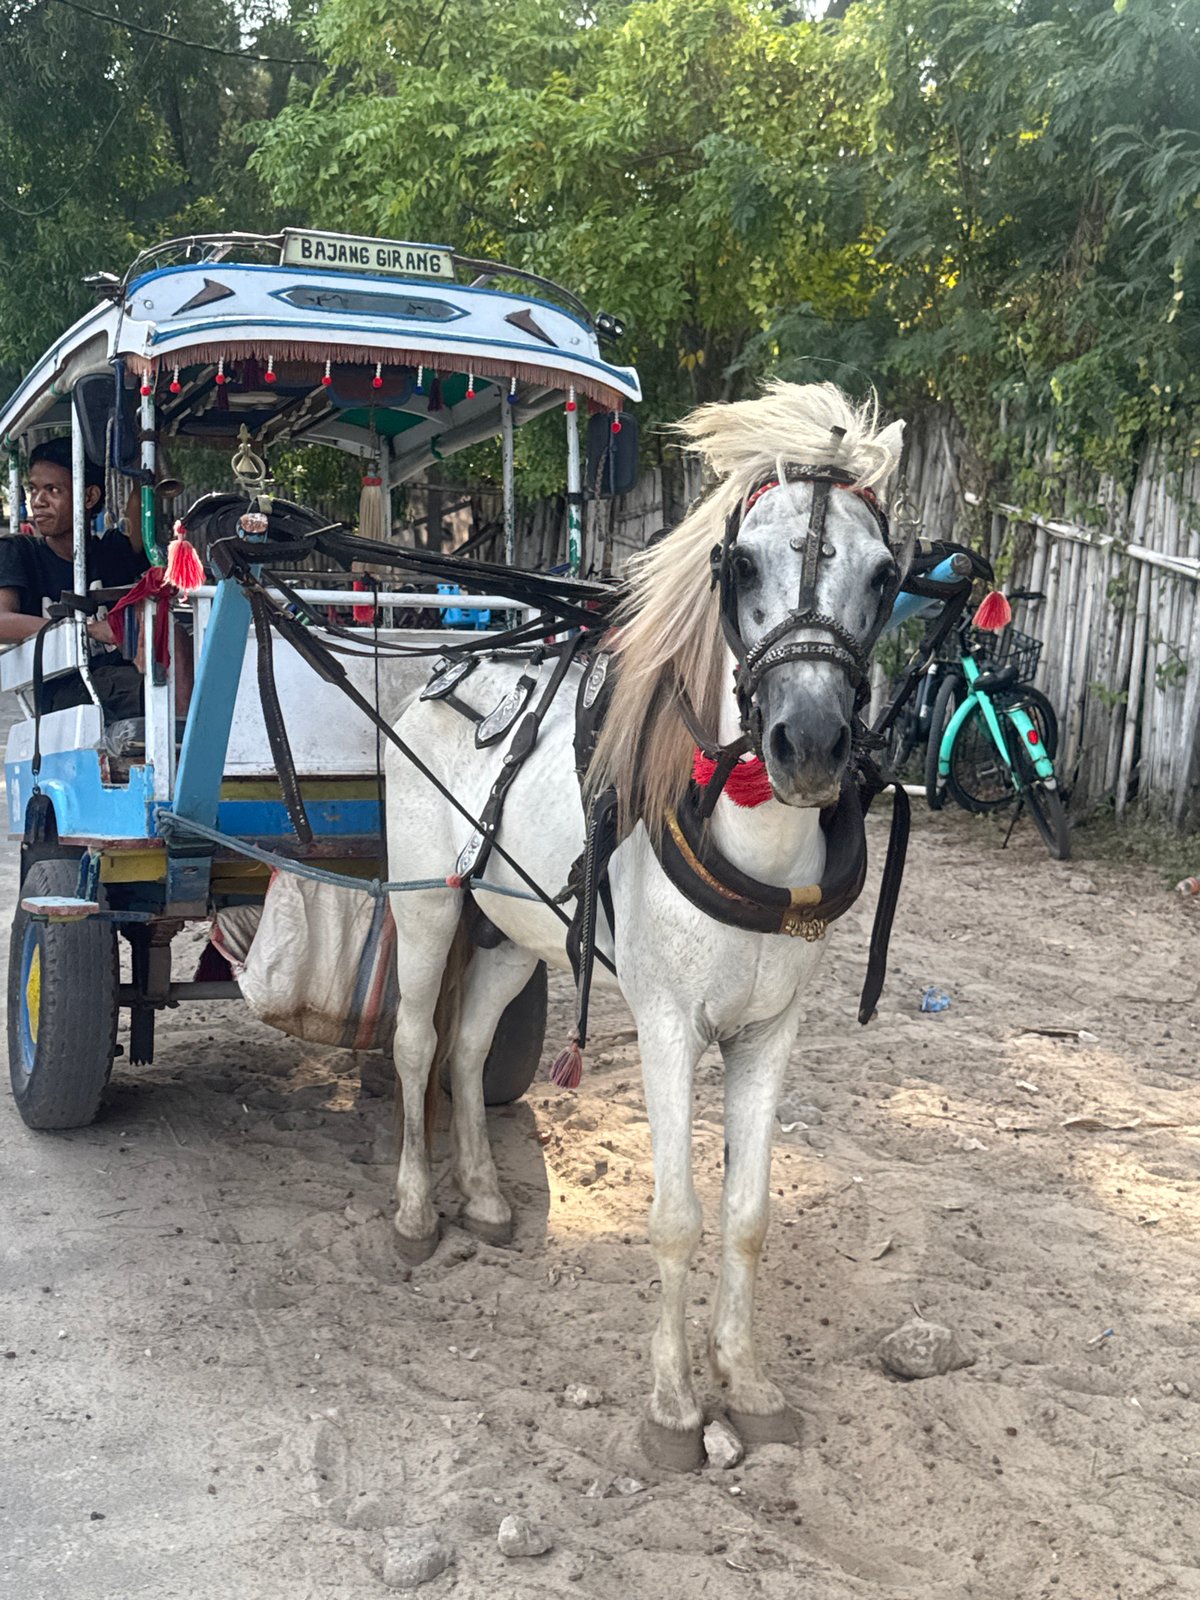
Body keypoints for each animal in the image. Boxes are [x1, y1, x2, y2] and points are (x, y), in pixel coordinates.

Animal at [384, 381, 909, 1469]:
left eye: (885, 576)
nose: (808, 744)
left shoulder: (769, 1033)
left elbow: (747, 1214)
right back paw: (414, 1213)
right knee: (415, 1045)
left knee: (465, 1048)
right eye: (741, 563)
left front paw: (746, 1384)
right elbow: (675, 1217)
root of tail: (447, 672)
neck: (748, 832)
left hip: (515, 931)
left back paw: (484, 1199)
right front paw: (672, 1407)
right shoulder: (670, 1026)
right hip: (426, 906)